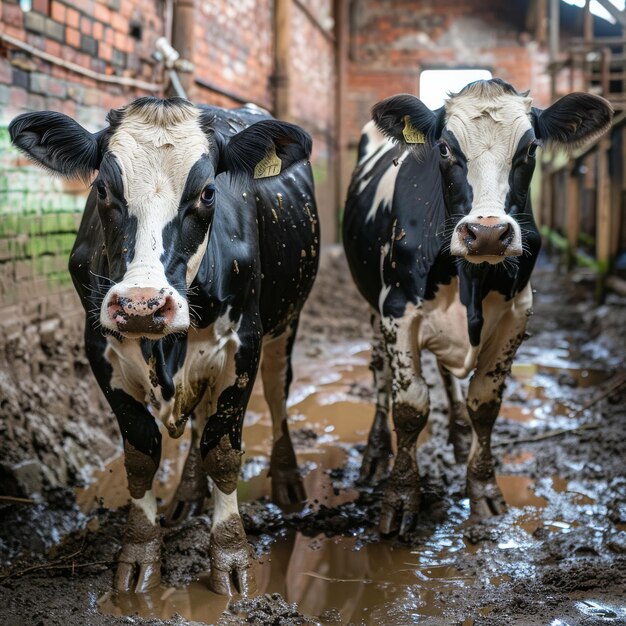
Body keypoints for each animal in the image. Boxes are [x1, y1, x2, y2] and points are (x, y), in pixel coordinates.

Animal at [9, 96, 320, 588]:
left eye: (208, 192)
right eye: (102, 189)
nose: (142, 305)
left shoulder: (242, 345)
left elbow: (223, 452)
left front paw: (231, 558)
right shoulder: (99, 349)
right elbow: (141, 454)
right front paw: (139, 554)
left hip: (287, 320)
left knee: (276, 393)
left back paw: (287, 481)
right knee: (199, 419)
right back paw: (188, 495)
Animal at [342, 78, 608, 536]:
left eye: (531, 149)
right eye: (445, 149)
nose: (486, 233)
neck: (469, 279)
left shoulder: (518, 314)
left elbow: (485, 404)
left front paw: (483, 489)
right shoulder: (397, 308)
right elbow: (410, 407)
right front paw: (401, 496)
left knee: (448, 377)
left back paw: (458, 434)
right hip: (371, 307)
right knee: (379, 375)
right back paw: (375, 453)